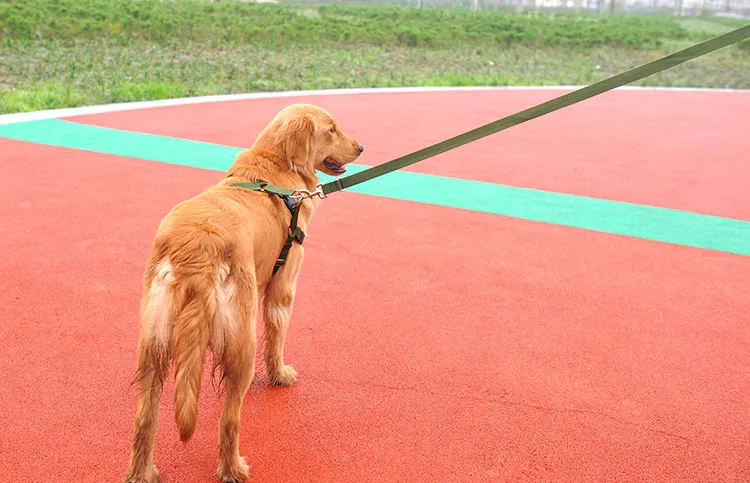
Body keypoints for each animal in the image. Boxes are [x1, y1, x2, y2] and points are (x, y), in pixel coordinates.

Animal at [124, 104, 364, 482]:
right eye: (332, 129)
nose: (362, 147)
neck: (274, 168)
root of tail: (197, 248)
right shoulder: (283, 289)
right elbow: (276, 340)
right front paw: (279, 375)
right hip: (241, 341)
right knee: (229, 418)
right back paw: (233, 468)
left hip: (152, 346)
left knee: (144, 419)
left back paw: (142, 472)